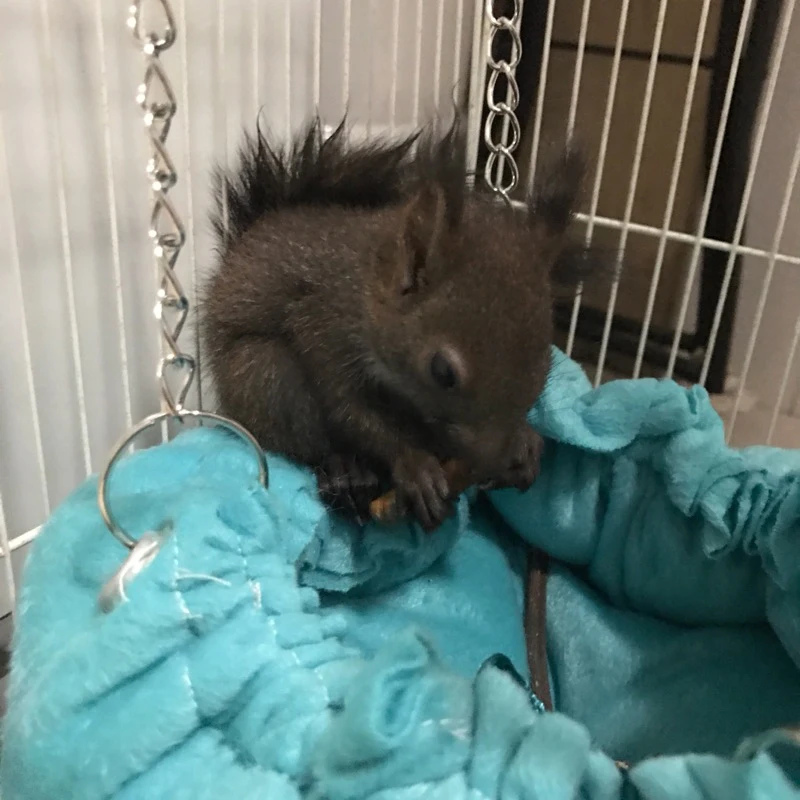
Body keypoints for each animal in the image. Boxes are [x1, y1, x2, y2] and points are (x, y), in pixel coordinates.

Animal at [201, 114, 606, 530]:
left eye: (547, 361)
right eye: (442, 371)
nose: (490, 458)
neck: (367, 292)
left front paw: (525, 443)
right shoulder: (323, 329)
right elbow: (350, 411)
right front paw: (414, 466)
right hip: (264, 375)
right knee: (305, 441)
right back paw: (346, 471)